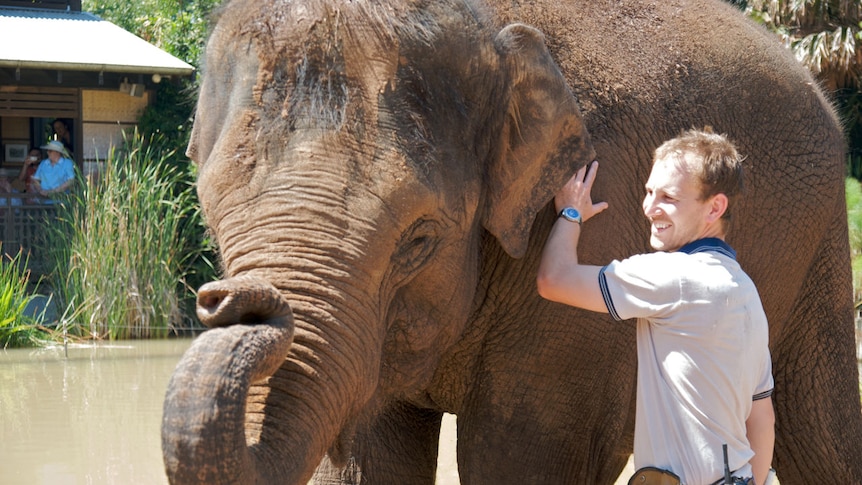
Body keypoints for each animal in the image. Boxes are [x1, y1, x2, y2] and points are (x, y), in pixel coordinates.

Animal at [164, 0, 862, 484]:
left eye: (419, 238)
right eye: (213, 219)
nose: (230, 301)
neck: (485, 28)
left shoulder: (595, 244)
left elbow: (517, 453)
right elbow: (370, 452)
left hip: (817, 235)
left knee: (818, 436)